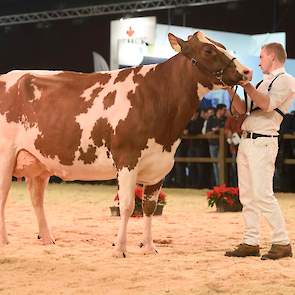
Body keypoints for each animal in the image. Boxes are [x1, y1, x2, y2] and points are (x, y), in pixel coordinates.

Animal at [0, 31, 252, 256]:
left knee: (36, 198)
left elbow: (149, 206)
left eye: (222, 45)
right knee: (3, 195)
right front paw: (119, 248)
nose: (246, 71)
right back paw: (5, 241)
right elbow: (129, 205)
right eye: (208, 50)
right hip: (5, 156)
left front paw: (149, 247)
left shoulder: (160, 164)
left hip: (39, 163)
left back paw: (47, 239)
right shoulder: (127, 159)